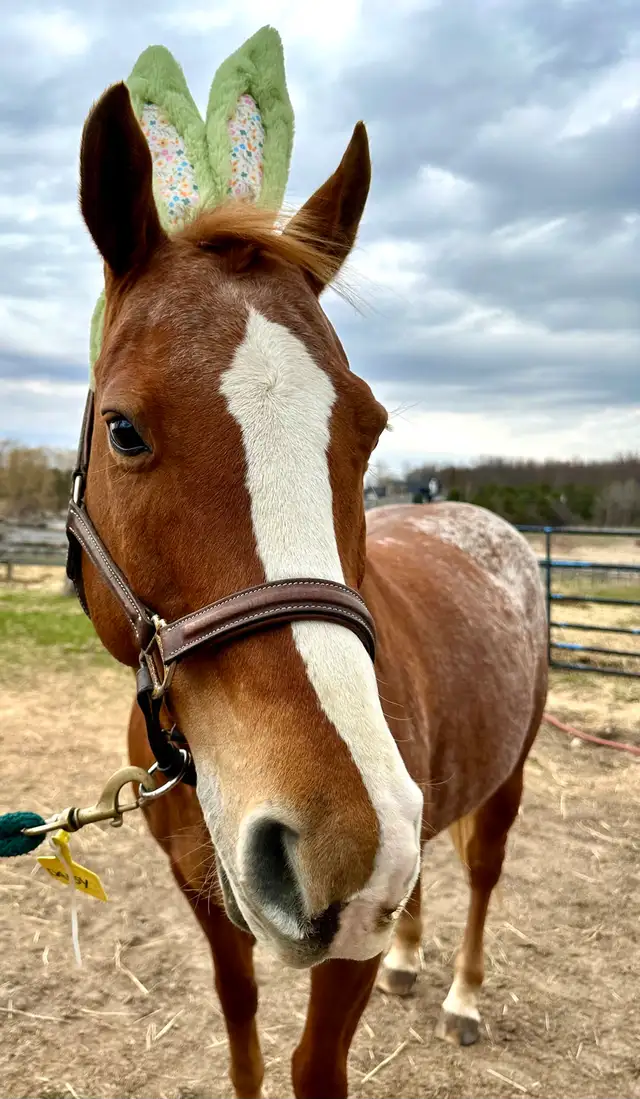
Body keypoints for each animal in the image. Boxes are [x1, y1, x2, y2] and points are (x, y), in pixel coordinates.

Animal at [74, 81, 548, 1099]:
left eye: (371, 428)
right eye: (124, 428)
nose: (345, 849)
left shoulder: (348, 942)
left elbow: (309, 1064)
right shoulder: (208, 901)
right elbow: (243, 1030)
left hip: (505, 780)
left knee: (483, 873)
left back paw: (461, 995)